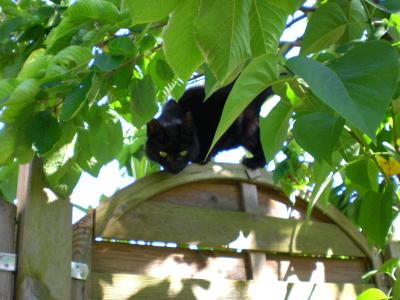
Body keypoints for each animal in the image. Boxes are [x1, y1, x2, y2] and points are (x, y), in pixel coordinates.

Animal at [144, 83, 272, 175]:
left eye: (183, 152)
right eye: (162, 153)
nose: (174, 167)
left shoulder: (226, 121)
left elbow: (213, 142)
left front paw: (203, 157)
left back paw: (254, 161)